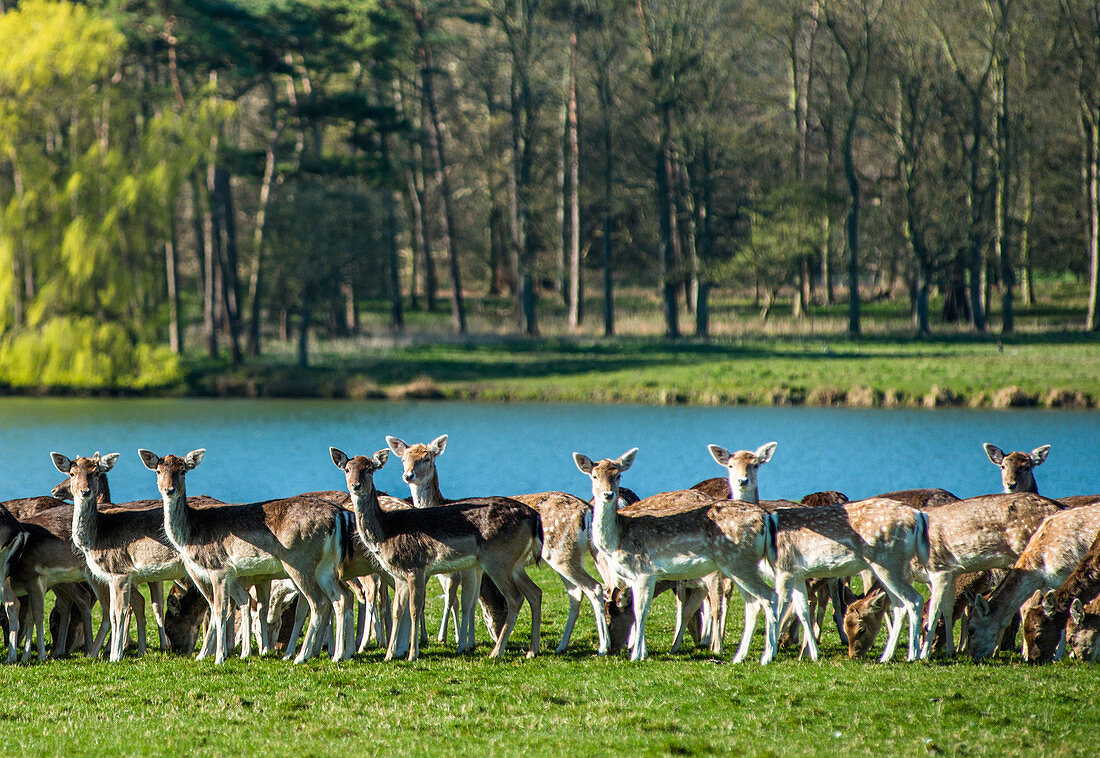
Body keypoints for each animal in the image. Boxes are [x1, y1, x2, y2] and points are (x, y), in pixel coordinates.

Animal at [138, 446, 352, 664]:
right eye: (158, 471)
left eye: (183, 471)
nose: (169, 490)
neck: (190, 534)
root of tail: (339, 515)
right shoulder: (233, 574)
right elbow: (241, 603)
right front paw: (231, 653)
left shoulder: (218, 568)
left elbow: (220, 610)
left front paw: (219, 657)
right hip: (326, 566)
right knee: (340, 597)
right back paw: (337, 655)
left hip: (300, 561)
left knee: (318, 601)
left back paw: (301, 656)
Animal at [330, 446, 545, 660]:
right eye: (347, 469)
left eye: (369, 469)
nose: (356, 485)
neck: (386, 531)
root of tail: (534, 517)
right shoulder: (399, 575)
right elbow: (398, 610)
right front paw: (389, 655)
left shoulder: (415, 567)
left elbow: (415, 609)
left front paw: (412, 654)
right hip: (515, 563)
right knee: (535, 592)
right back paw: (532, 650)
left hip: (497, 559)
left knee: (515, 598)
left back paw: (496, 652)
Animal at [572, 446, 778, 660]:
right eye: (594, 475)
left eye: (618, 475)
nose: (608, 494)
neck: (618, 538)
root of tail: (765, 517)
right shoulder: (634, 577)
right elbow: (641, 610)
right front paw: (642, 652)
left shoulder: (645, 571)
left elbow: (641, 610)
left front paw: (636, 655)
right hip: (739, 567)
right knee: (753, 602)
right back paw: (739, 657)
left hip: (738, 564)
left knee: (768, 596)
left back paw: (767, 656)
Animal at [765, 497, 928, 660]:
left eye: (862, 630)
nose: (854, 656)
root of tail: (918, 515)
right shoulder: (798, 575)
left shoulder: (785, 572)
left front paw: (770, 654)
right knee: (899, 606)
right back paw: (886, 656)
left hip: (887, 563)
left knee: (915, 600)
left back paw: (913, 655)